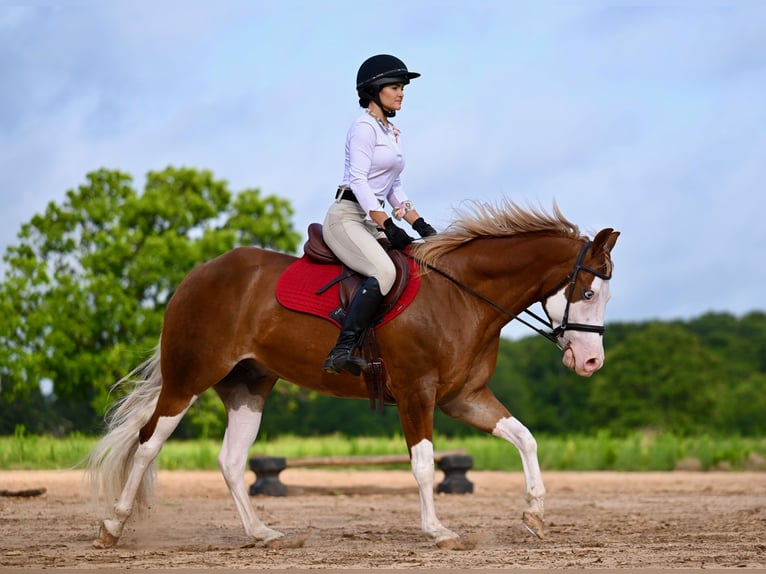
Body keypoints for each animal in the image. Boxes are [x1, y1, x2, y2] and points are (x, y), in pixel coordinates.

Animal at [87, 199, 620, 552]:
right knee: (148, 444)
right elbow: (423, 464)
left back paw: (262, 533)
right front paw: (438, 531)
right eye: (589, 292)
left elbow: (525, 438)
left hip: (248, 386)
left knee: (231, 461)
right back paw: (112, 528)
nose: (591, 363)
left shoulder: (464, 396)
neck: (462, 297)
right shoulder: (417, 393)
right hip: (188, 379)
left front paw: (534, 514)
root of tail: (195, 276)